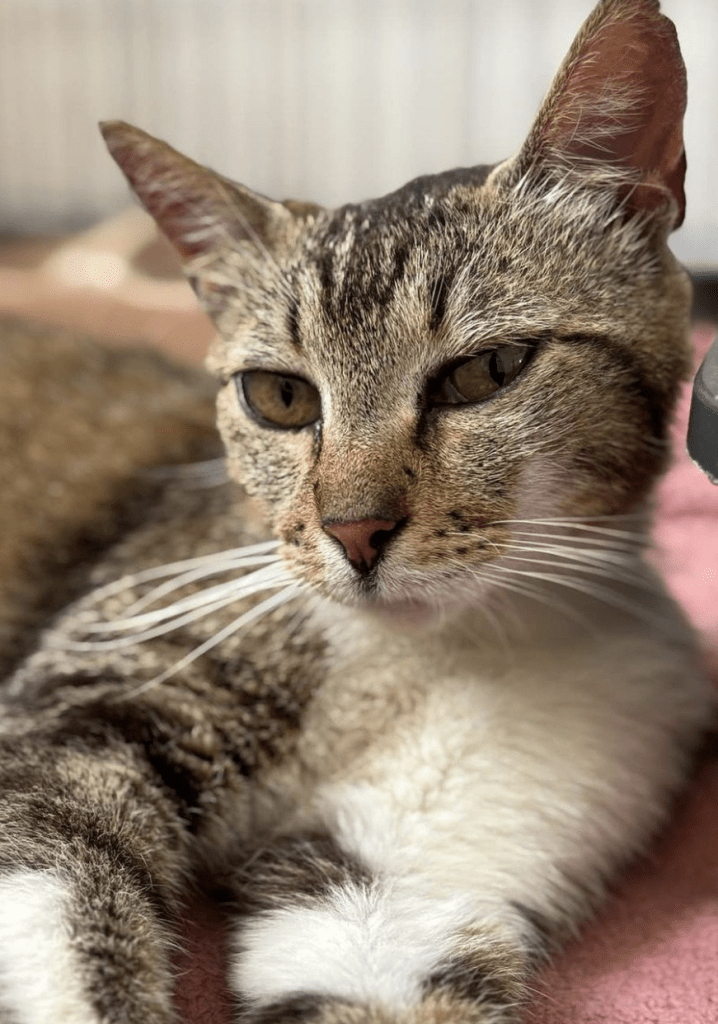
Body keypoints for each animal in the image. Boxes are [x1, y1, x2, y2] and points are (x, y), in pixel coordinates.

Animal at [0, 2, 712, 1024]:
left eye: (486, 372)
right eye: (279, 397)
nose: (354, 530)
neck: (419, 651)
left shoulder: (400, 890)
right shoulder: (72, 719)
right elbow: (61, 911)